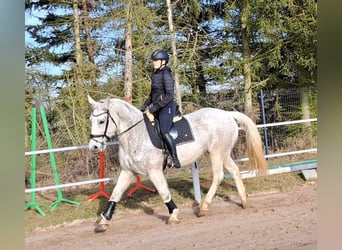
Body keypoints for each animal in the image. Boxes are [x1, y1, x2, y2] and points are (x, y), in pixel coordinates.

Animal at [86, 95, 268, 232]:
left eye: (101, 121)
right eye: (90, 120)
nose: (93, 146)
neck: (135, 135)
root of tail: (226, 114)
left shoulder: (154, 171)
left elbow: (163, 192)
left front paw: (173, 214)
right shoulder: (127, 172)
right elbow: (115, 195)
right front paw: (103, 221)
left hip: (216, 153)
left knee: (218, 175)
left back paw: (204, 207)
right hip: (224, 153)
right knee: (235, 171)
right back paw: (243, 201)